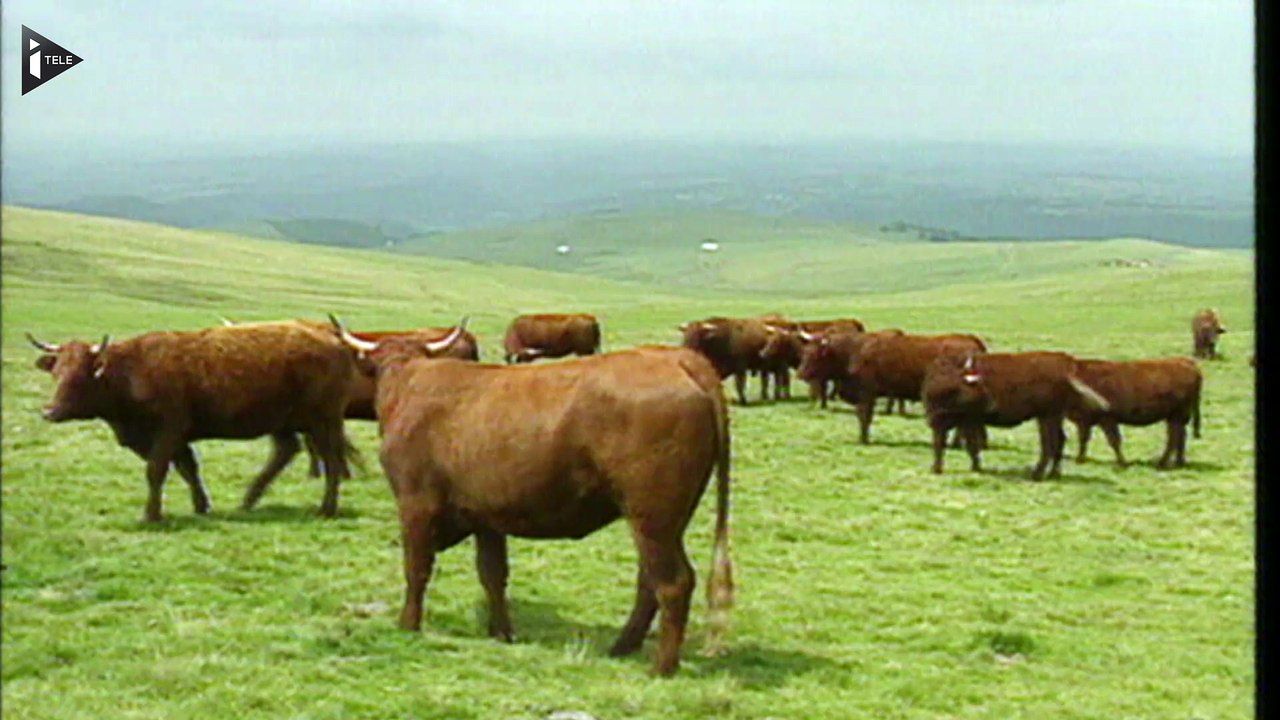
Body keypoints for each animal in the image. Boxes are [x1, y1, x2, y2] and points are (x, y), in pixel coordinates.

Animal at [27, 321, 360, 521]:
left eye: (80, 377)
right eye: (57, 373)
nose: (49, 411)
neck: (132, 370)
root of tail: (334, 339)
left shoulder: (168, 431)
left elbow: (157, 470)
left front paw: (152, 515)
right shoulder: (175, 438)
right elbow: (187, 469)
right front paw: (202, 506)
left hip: (322, 421)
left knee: (331, 461)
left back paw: (326, 508)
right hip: (284, 423)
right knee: (286, 452)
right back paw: (248, 500)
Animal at [331, 316, 734, 676]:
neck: (408, 385)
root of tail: (680, 360)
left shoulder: (415, 505)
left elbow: (417, 568)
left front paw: (408, 624)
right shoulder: (485, 517)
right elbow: (493, 574)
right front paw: (501, 632)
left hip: (653, 517)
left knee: (673, 583)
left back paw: (661, 666)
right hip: (659, 522)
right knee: (649, 581)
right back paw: (621, 647)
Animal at [922, 352, 1111, 479]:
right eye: (980, 386)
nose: (993, 405)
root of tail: (1065, 364)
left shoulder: (962, 421)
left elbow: (955, 444)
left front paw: (938, 468)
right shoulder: (954, 422)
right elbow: (956, 445)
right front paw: (972, 467)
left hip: (1047, 416)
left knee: (1050, 443)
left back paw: (1038, 474)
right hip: (1052, 417)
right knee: (1059, 440)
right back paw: (1053, 474)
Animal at [1067, 358, 1203, 468]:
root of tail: (1186, 362)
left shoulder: (1105, 419)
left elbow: (1113, 440)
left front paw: (1122, 463)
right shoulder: (1085, 421)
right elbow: (1084, 439)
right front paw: (1080, 459)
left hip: (1176, 416)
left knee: (1174, 437)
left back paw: (1162, 463)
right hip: (1176, 417)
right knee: (1181, 436)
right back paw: (1179, 462)